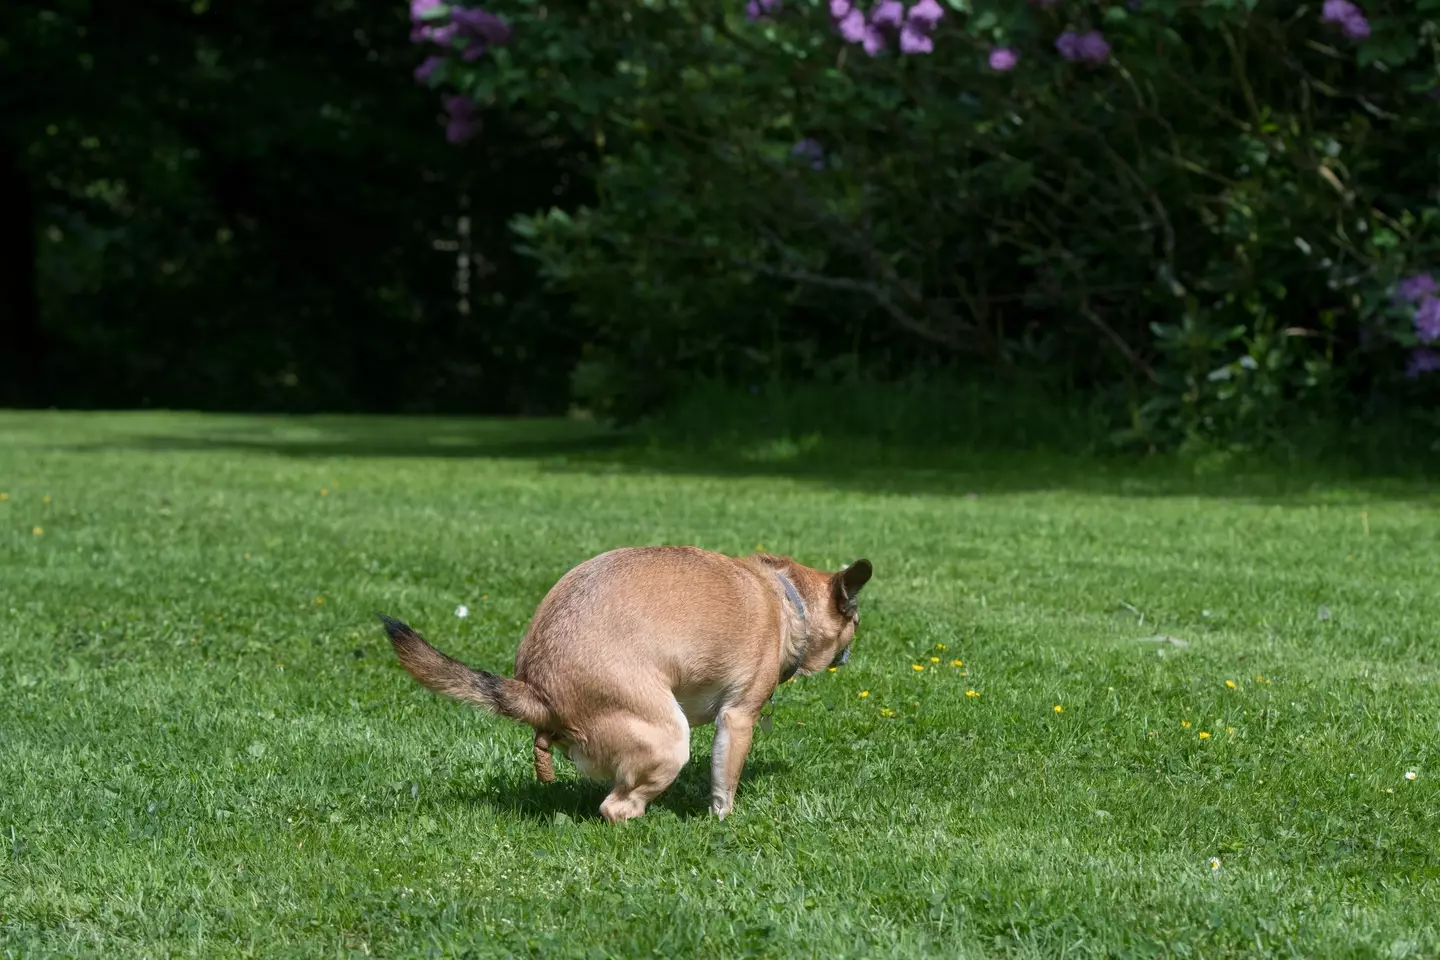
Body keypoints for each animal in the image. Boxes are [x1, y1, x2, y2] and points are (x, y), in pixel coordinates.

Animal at [377, 546, 869, 829]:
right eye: (857, 621)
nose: (855, 641)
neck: (787, 598)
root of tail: (536, 689)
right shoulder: (738, 719)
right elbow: (724, 783)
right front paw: (721, 820)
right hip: (670, 741)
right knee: (617, 808)